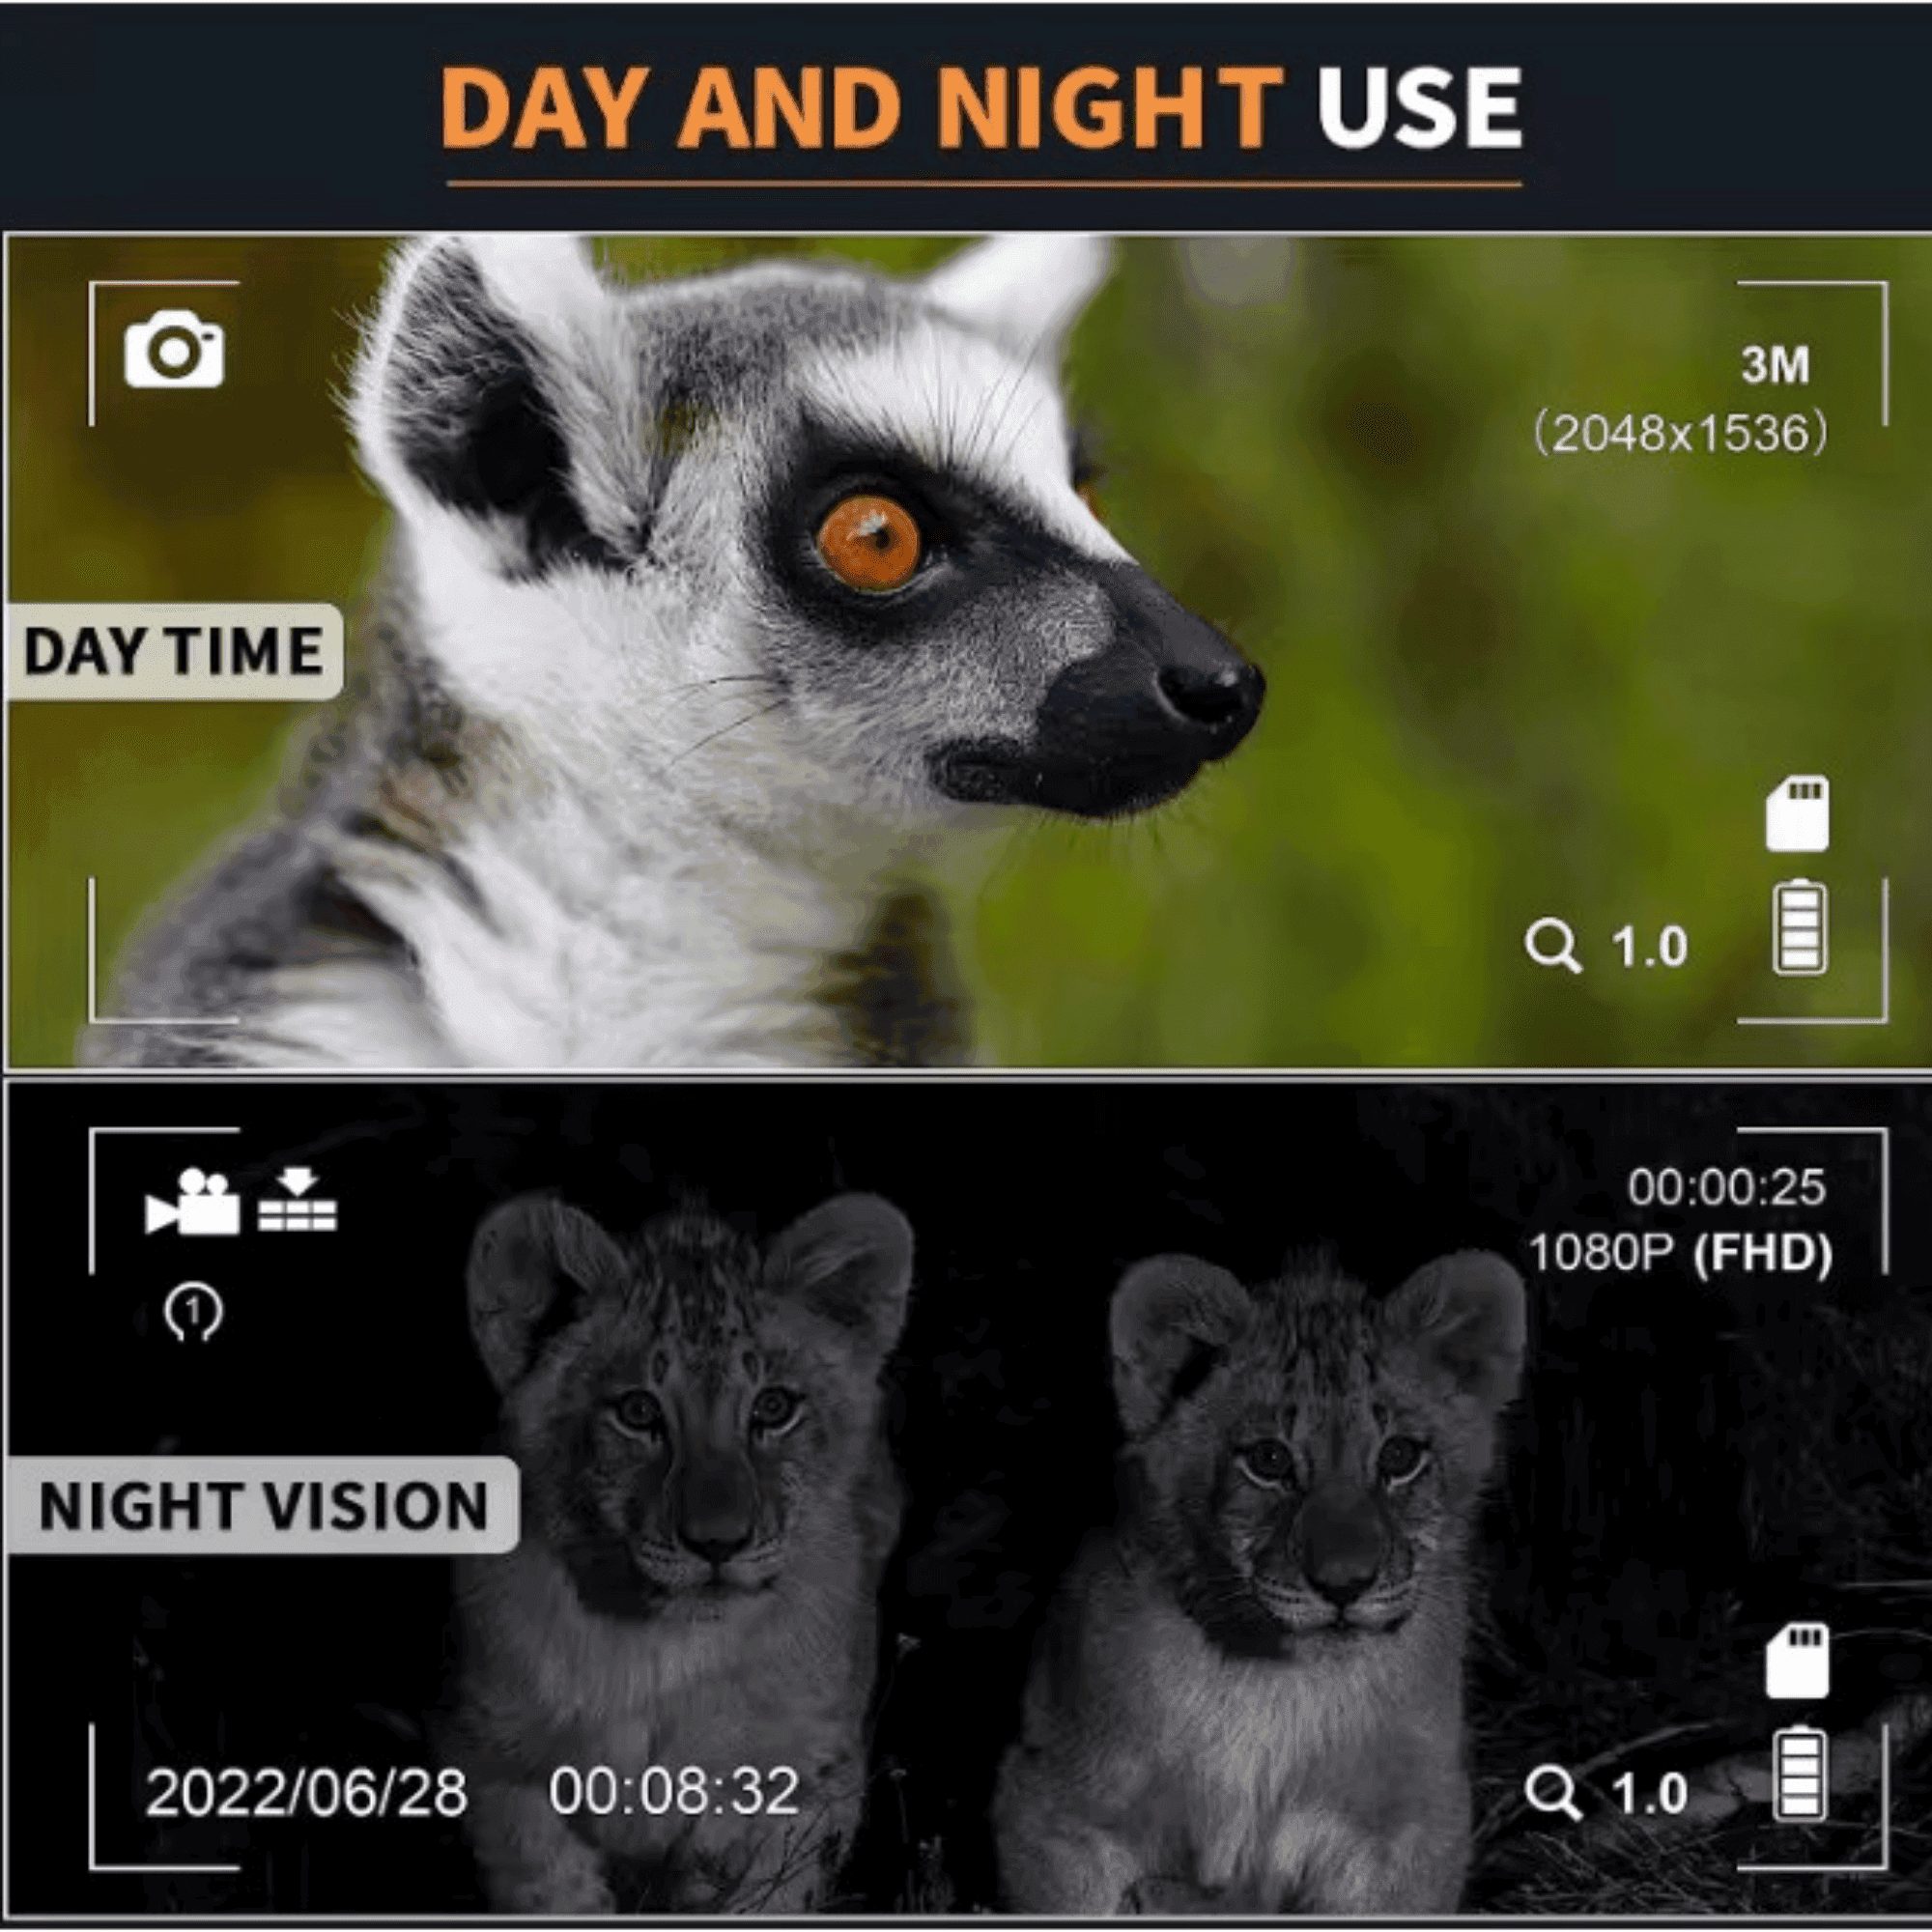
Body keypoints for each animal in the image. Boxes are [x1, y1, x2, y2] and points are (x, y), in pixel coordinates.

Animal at [446, 1191, 912, 1913]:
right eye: (638, 1413)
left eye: (773, 1407)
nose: (718, 1542)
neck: (658, 1648)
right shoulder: (499, 1764)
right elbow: (552, 1892)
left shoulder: (806, 1780)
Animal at [993, 1248, 1525, 1914]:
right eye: (1269, 1461)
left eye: (1400, 1457)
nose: (1344, 1585)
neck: (1280, 1689)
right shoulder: (1054, 1805)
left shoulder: (1408, 1827)